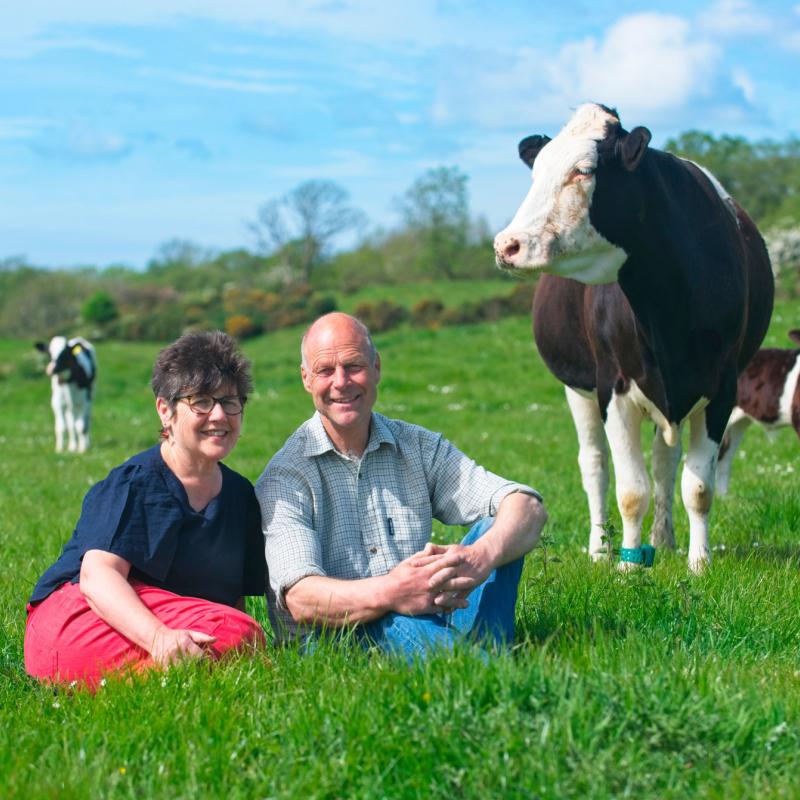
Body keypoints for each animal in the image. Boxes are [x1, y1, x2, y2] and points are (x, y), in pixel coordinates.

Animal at [494, 103, 776, 572]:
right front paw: (627, 567)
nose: (506, 245)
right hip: (578, 387)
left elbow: (697, 487)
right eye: (538, 172)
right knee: (595, 466)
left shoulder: (722, 387)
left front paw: (699, 563)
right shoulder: (613, 386)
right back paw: (600, 549)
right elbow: (630, 491)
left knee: (665, 463)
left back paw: (664, 541)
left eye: (584, 170)